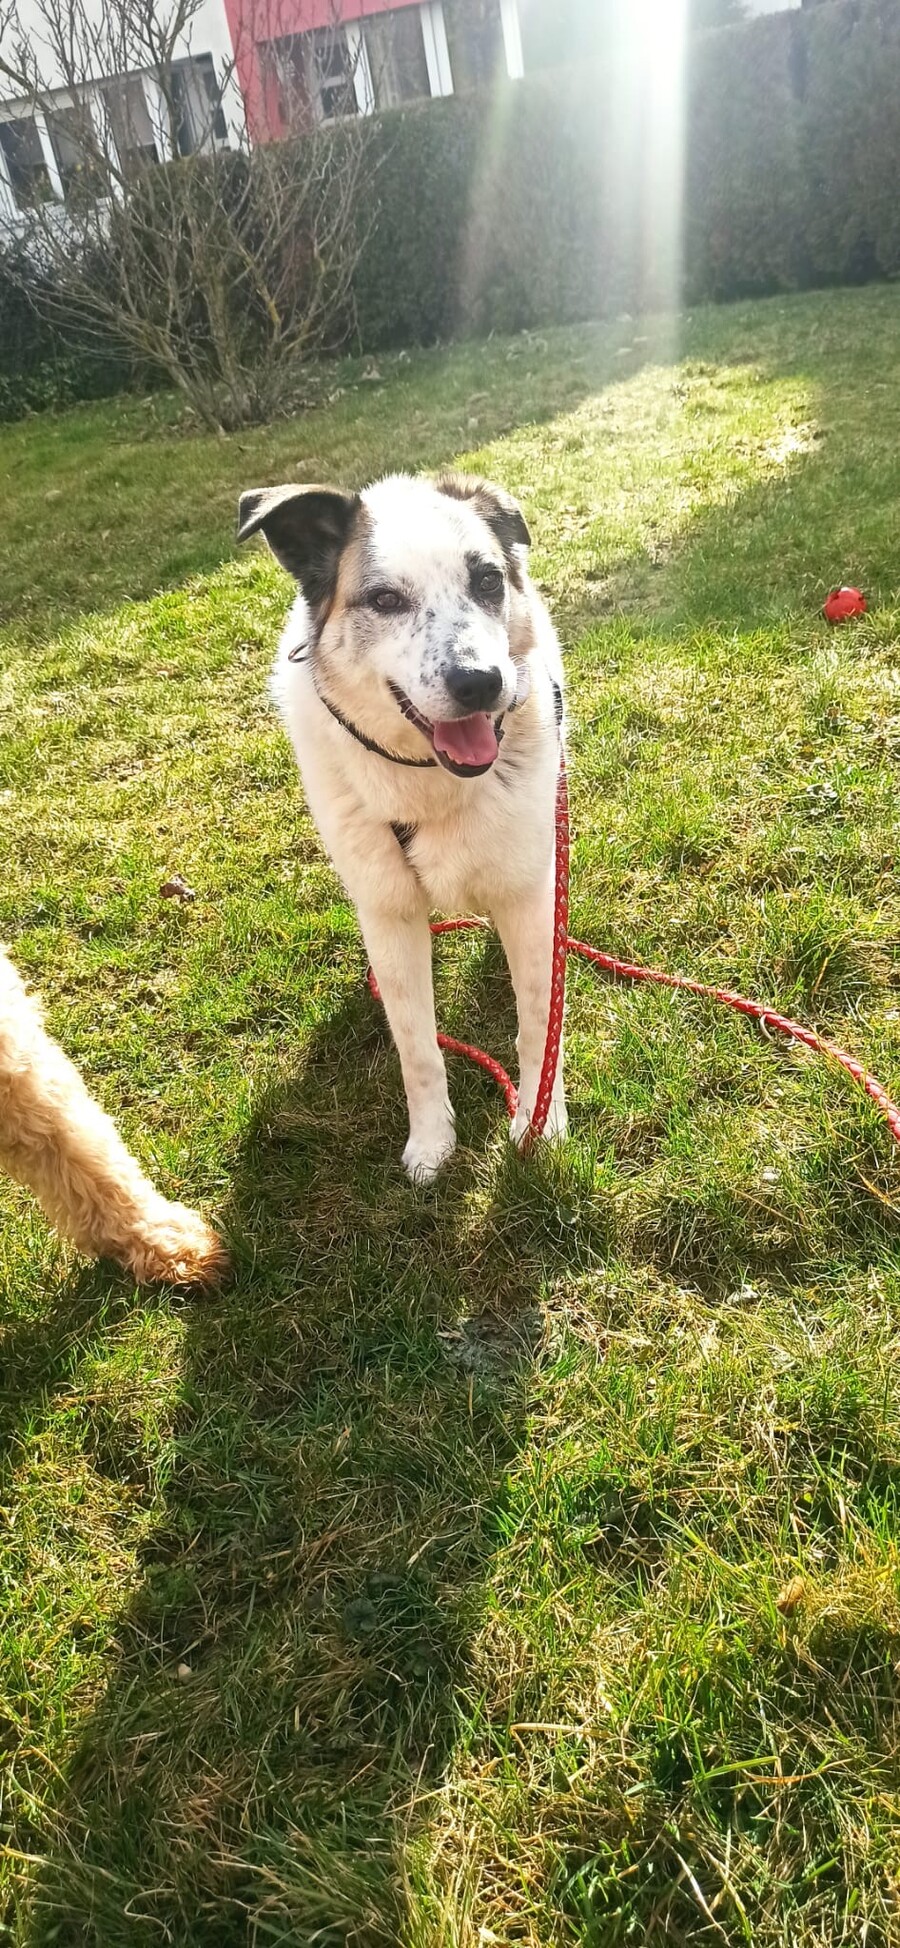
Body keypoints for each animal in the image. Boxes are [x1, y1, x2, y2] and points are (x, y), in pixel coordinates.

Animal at [238, 471, 566, 1182]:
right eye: (385, 599)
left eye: (488, 581)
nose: (482, 683)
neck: (430, 780)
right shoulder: (389, 913)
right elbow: (416, 1045)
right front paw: (432, 1142)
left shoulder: (526, 894)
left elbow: (539, 1019)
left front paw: (540, 1122)